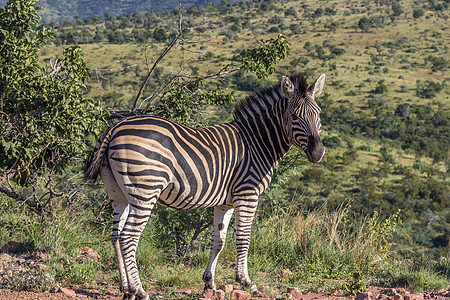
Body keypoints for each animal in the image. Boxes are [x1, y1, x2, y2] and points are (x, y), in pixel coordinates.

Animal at [85, 71, 324, 298]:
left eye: (318, 114)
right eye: (294, 116)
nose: (317, 153)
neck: (257, 142)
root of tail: (115, 128)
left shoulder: (225, 202)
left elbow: (218, 241)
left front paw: (209, 282)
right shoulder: (247, 193)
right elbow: (243, 238)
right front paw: (245, 281)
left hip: (119, 194)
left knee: (116, 236)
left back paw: (126, 289)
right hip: (145, 189)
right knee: (128, 237)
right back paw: (139, 290)